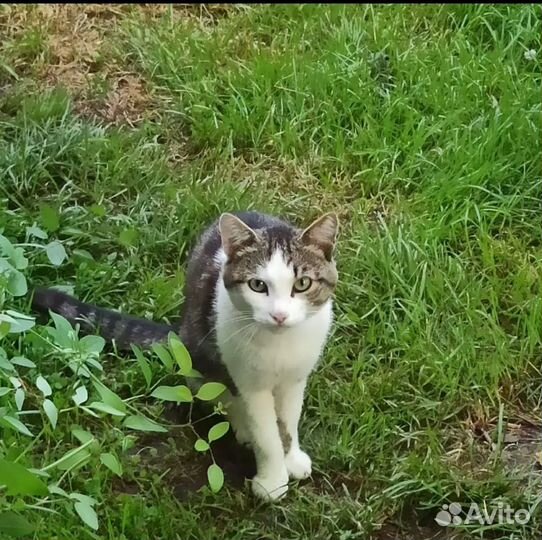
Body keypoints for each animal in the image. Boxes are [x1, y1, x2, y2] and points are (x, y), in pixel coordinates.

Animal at [33, 211, 340, 502]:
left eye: (302, 283)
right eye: (257, 285)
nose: (279, 315)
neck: (280, 345)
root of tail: (180, 330)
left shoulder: (296, 378)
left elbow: (288, 423)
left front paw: (292, 458)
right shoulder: (249, 383)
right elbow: (266, 434)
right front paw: (272, 481)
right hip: (202, 356)